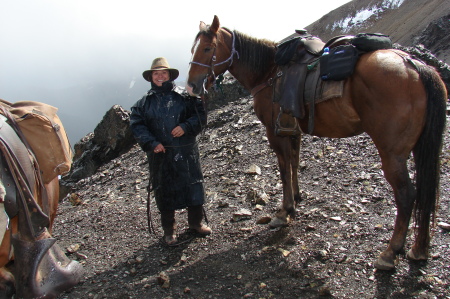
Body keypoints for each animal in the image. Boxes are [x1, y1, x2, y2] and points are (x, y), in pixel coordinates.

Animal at [186, 15, 446, 270]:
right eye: (192, 48)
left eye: (207, 48)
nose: (191, 87)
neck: (269, 72)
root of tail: (413, 65)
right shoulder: (293, 130)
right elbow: (294, 163)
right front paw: (297, 198)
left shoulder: (275, 132)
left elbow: (283, 170)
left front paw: (284, 211)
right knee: (424, 190)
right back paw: (419, 249)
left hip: (392, 153)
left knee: (406, 194)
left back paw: (391, 252)